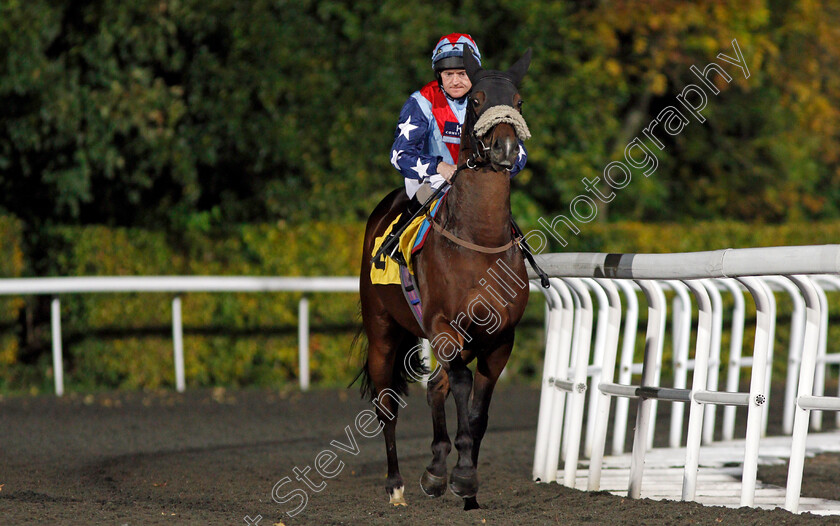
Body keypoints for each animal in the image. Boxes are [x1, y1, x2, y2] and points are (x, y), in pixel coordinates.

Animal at [356, 48, 532, 512]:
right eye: (478, 99)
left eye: (518, 101)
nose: (507, 147)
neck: (478, 242)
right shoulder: (443, 327)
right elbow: (463, 387)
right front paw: (462, 474)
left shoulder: (500, 338)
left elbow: (478, 407)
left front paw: (462, 481)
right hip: (382, 329)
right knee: (387, 402)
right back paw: (396, 484)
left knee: (436, 385)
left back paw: (435, 470)